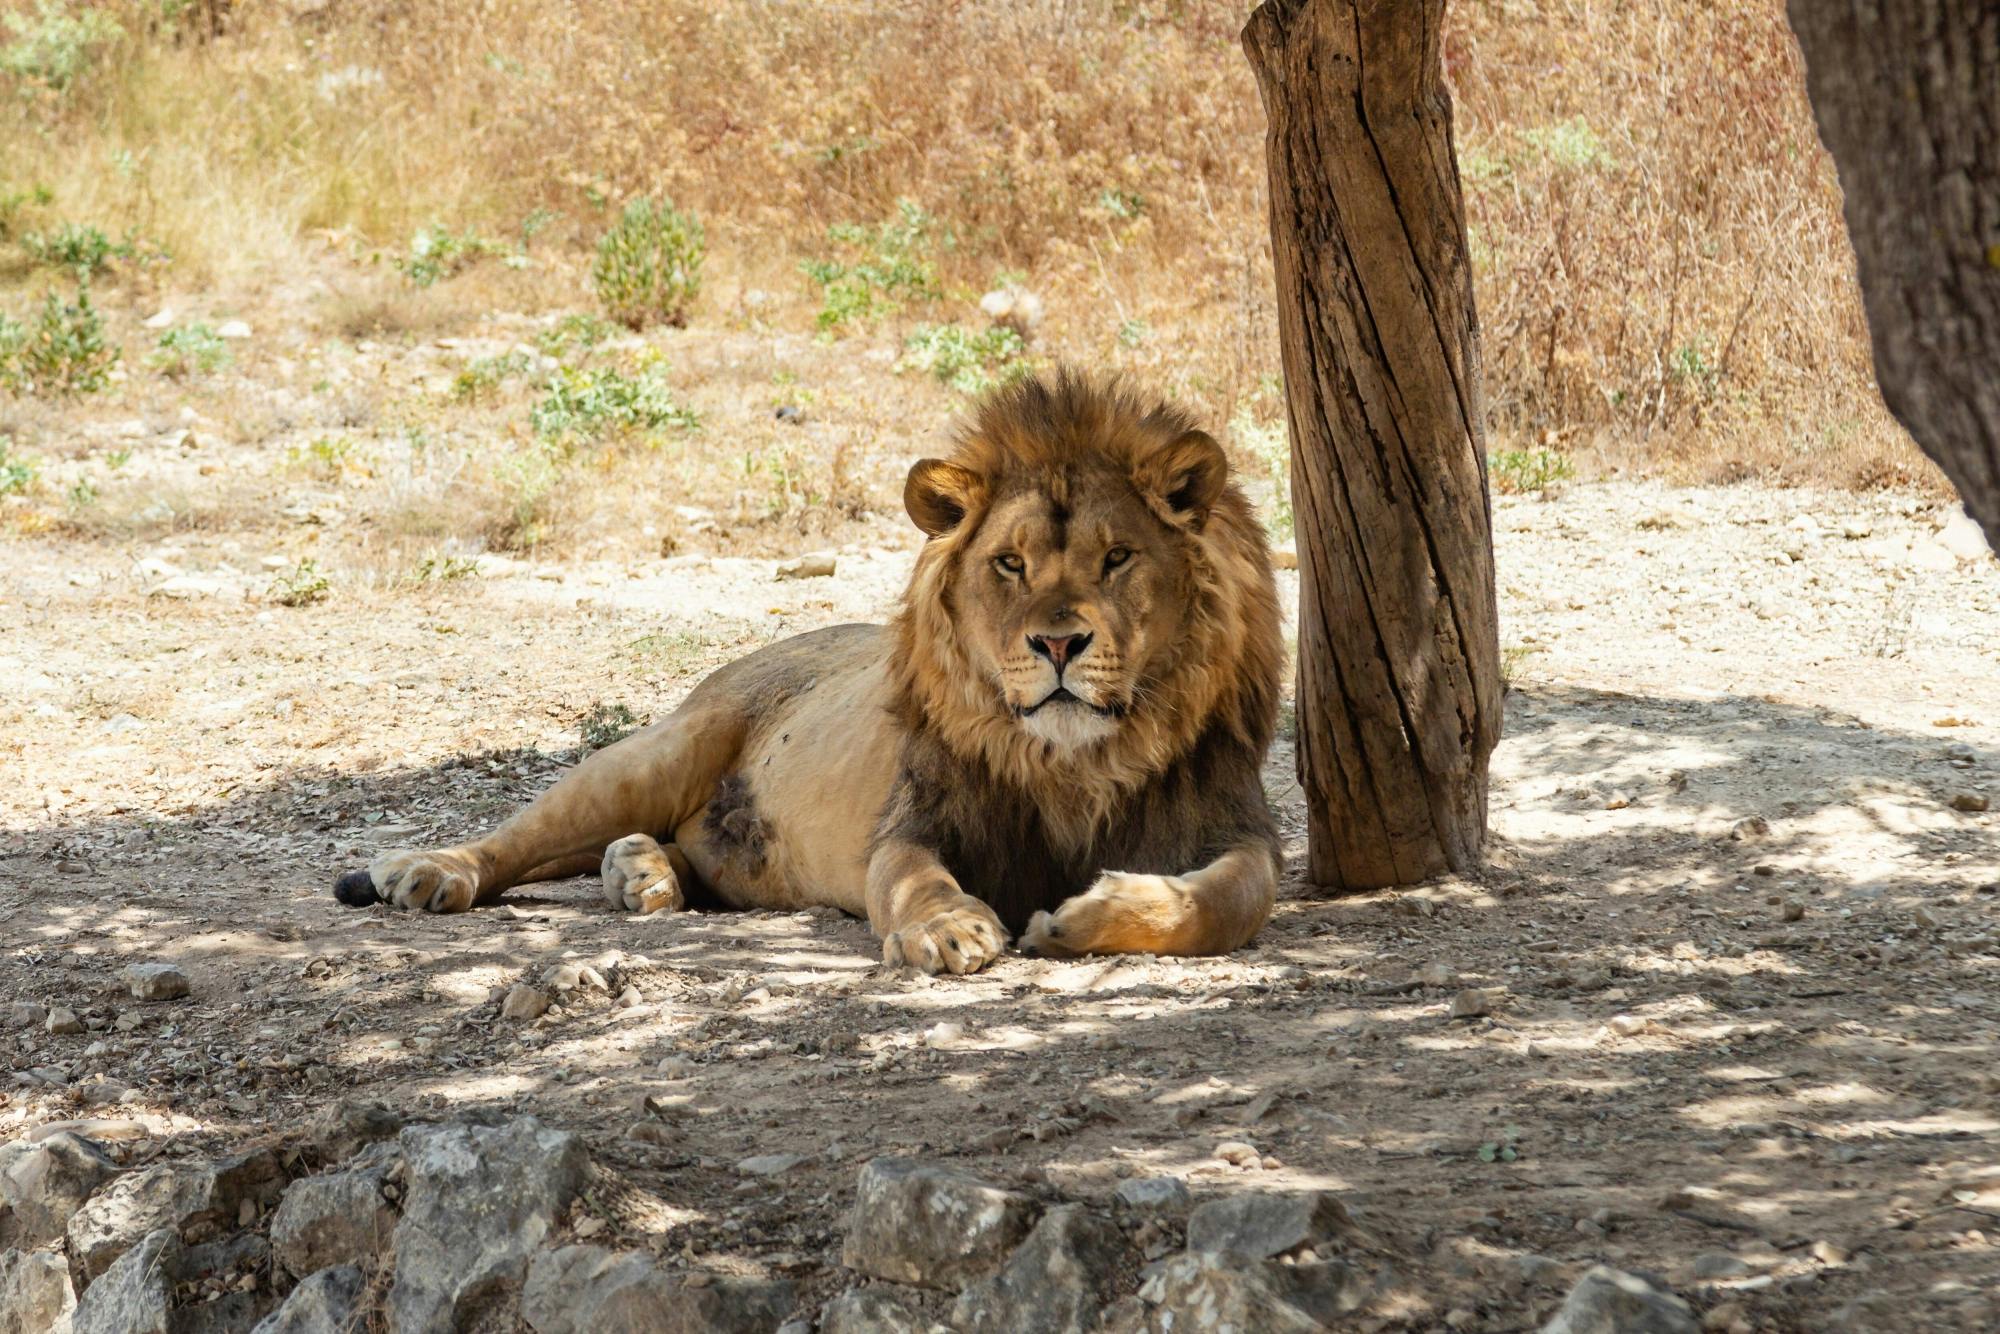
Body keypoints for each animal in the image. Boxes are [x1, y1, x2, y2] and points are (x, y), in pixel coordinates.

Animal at [332, 370, 1280, 976]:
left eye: (1117, 558)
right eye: (1009, 564)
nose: (1057, 646)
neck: (1075, 763)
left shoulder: (1236, 823)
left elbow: (1232, 902)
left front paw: (1083, 917)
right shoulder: (914, 823)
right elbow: (914, 880)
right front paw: (950, 932)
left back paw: (641, 873)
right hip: (656, 753)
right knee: (518, 836)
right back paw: (430, 872)